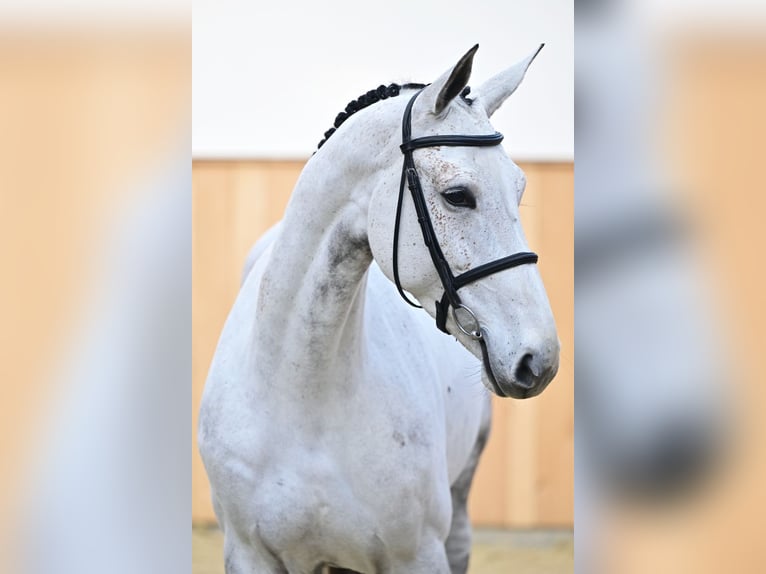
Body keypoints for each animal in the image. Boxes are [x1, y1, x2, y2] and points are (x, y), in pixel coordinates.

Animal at [198, 44, 560, 574]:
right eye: (458, 196)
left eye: (519, 191)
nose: (541, 359)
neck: (303, 400)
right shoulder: (249, 555)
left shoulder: (418, 556)